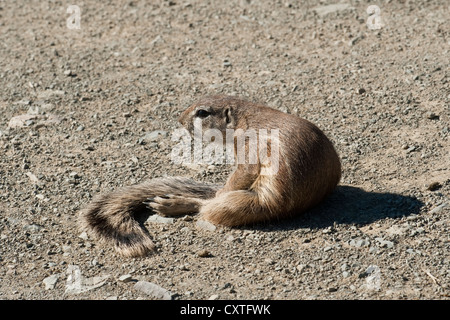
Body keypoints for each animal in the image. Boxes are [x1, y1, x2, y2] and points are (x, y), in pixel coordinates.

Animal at [81, 95, 342, 258]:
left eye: (202, 112)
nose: (179, 119)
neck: (244, 117)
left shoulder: (248, 146)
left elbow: (243, 172)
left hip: (248, 203)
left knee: (209, 207)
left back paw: (173, 204)